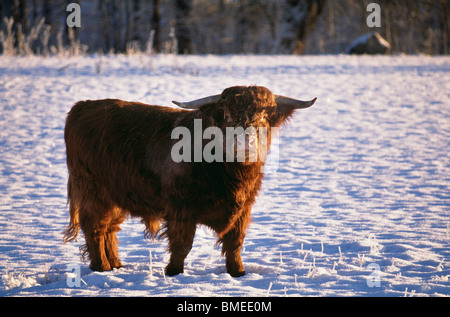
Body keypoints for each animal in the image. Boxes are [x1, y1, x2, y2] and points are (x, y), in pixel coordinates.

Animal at [62, 85, 316, 276]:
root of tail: (82, 106)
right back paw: (102, 267)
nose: (245, 140)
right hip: (94, 190)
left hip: (117, 194)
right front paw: (174, 272)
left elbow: (235, 243)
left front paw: (238, 273)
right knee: (95, 227)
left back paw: (115, 264)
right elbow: (182, 244)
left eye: (264, 116)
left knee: (110, 229)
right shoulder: (180, 208)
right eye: (227, 116)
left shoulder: (244, 208)